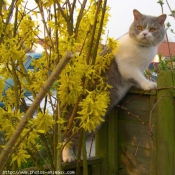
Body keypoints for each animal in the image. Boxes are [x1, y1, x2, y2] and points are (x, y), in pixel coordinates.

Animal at [62, 9, 166, 163]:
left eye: (153, 29)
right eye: (139, 27)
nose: (144, 34)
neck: (142, 49)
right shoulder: (128, 67)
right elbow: (139, 77)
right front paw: (149, 84)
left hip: (93, 125)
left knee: (79, 140)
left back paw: (80, 157)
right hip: (78, 119)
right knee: (68, 138)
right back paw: (68, 156)